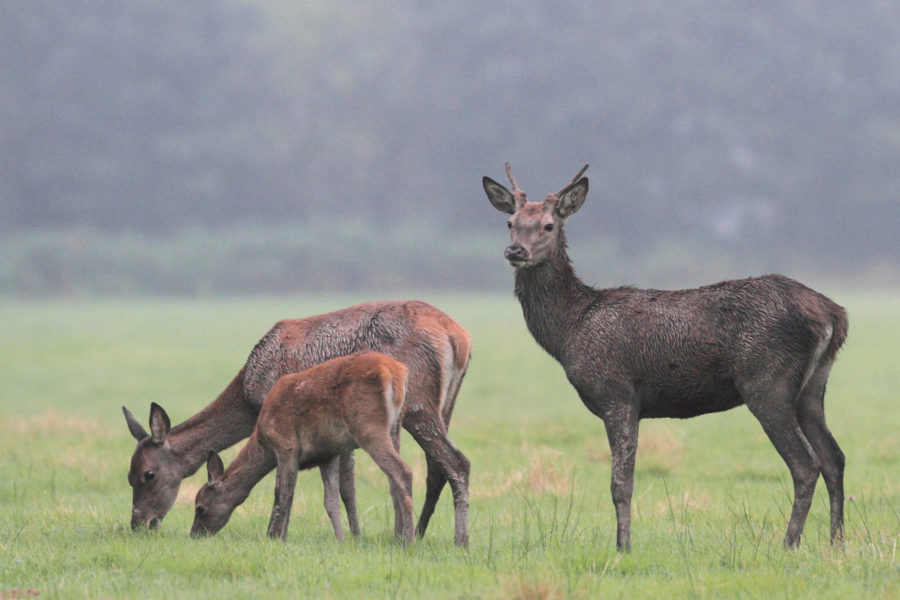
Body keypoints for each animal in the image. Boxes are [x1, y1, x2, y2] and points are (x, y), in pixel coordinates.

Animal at [192, 352, 414, 544]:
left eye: (200, 507)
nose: (193, 534)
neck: (264, 443)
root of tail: (396, 372)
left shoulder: (286, 445)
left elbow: (284, 494)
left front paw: (279, 538)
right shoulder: (328, 453)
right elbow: (330, 501)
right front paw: (341, 540)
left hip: (368, 425)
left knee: (402, 471)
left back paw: (409, 541)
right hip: (394, 427)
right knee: (394, 478)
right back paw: (402, 537)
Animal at [482, 162, 848, 552]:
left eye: (549, 225)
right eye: (510, 221)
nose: (515, 250)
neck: (568, 331)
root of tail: (834, 314)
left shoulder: (617, 393)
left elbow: (620, 483)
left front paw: (623, 546)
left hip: (767, 380)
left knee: (806, 464)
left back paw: (789, 543)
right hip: (812, 385)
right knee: (834, 458)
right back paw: (836, 542)